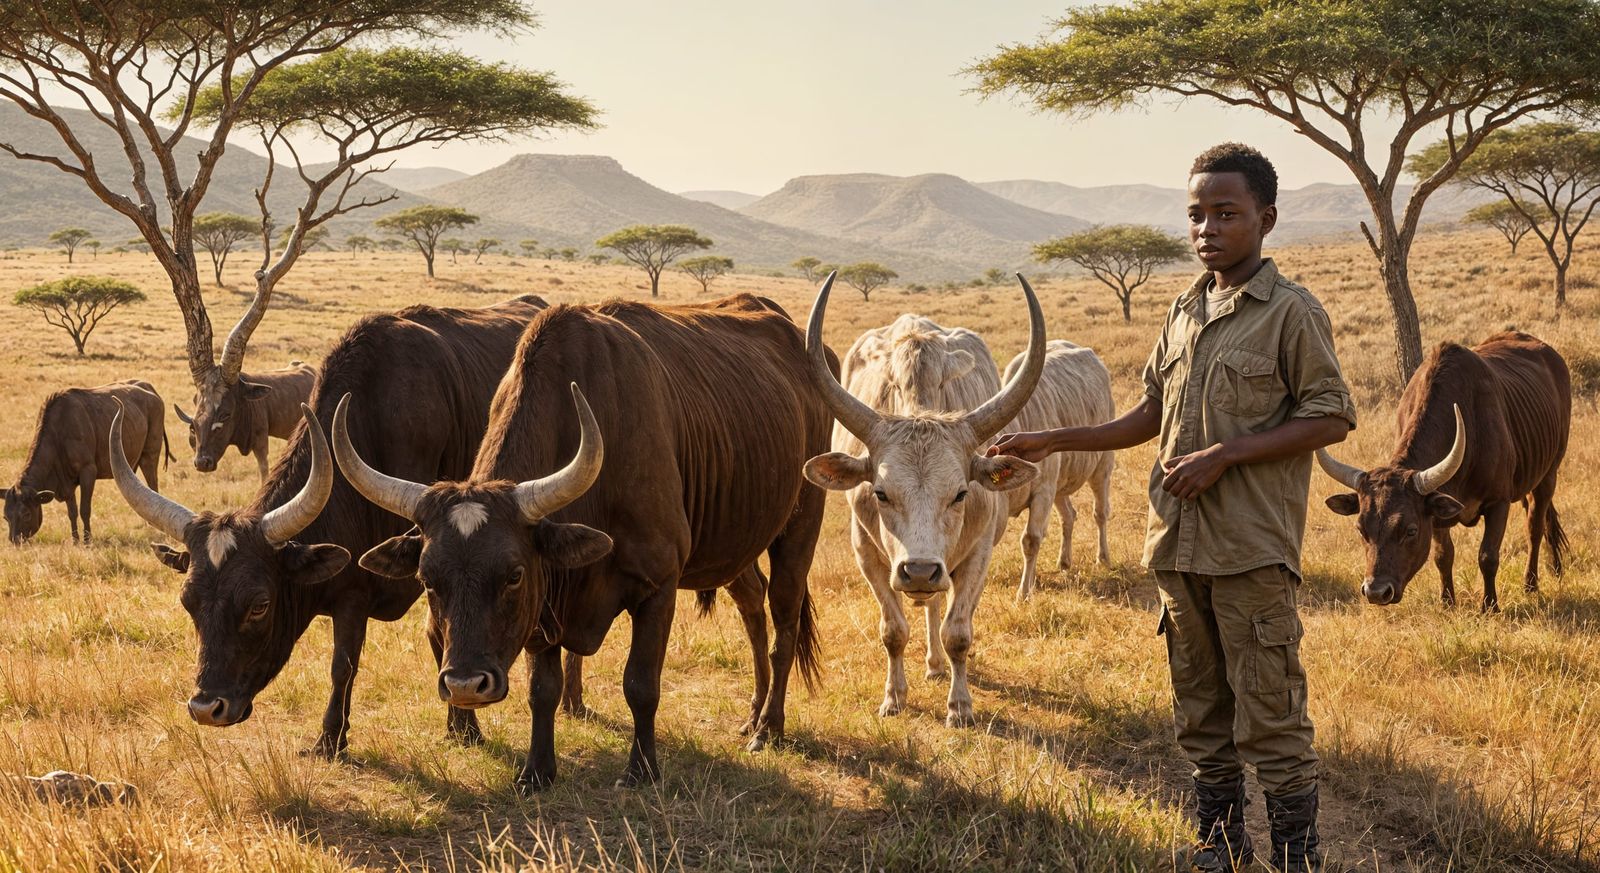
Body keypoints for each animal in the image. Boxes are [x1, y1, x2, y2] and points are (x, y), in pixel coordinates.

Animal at [5, 380, 171, 545]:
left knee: (153, 486)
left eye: (26, 514)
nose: (15, 540)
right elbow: (72, 512)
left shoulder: (88, 471)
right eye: (6, 516)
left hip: (149, 456)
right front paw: (75, 540)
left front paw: (87, 540)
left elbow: (84, 509)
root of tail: (146, 386)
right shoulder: (66, 483)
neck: (59, 435)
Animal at [331, 293, 830, 791]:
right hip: (736, 551)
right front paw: (537, 770)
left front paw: (642, 768)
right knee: (752, 604)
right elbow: (542, 690)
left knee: (784, 623)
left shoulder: (659, 587)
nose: (464, 687)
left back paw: (768, 726)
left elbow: (640, 684)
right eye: (428, 579)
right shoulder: (548, 606)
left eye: (513, 575)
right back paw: (752, 713)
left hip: (800, 530)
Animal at [802, 273, 1044, 727]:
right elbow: (893, 631)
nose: (918, 571)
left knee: (937, 606)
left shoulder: (978, 554)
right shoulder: (866, 554)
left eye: (961, 493)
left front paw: (960, 706)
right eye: (880, 493)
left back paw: (935, 663)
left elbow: (957, 633)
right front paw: (894, 698)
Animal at [1001, 340, 1116, 599]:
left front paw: (1024, 592)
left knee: (1100, 513)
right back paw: (1064, 561)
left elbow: (1031, 540)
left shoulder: (1043, 491)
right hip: (1061, 484)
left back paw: (1103, 557)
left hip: (1102, 467)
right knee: (1069, 515)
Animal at [1316, 332, 1570, 611]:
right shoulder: (1436, 512)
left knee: (1535, 527)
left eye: (1411, 530)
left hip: (1549, 475)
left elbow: (1488, 555)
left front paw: (1490, 605)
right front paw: (1447, 601)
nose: (1376, 591)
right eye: (1360, 529)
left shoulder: (1498, 502)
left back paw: (1532, 583)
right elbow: (1442, 555)